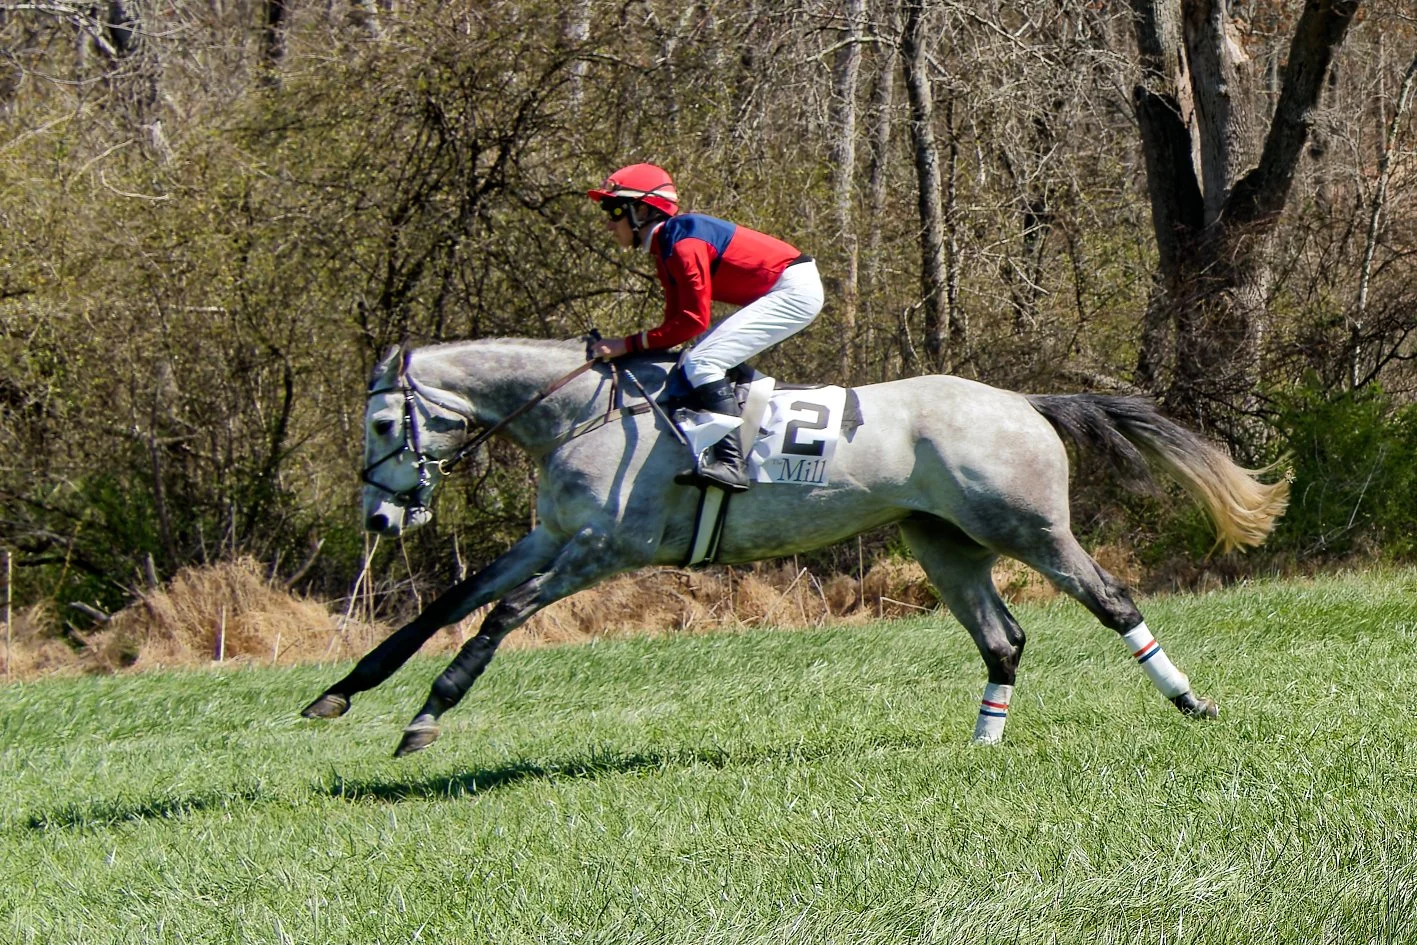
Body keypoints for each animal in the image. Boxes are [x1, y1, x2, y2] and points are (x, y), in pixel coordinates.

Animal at [301, 337, 1289, 757]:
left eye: (383, 421)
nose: (380, 519)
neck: (580, 412)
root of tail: (1024, 402)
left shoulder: (603, 546)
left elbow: (500, 614)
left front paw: (426, 718)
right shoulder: (549, 533)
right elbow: (447, 604)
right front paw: (338, 693)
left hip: (1029, 528)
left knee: (1112, 601)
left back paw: (1190, 700)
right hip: (942, 543)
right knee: (1003, 639)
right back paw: (981, 740)